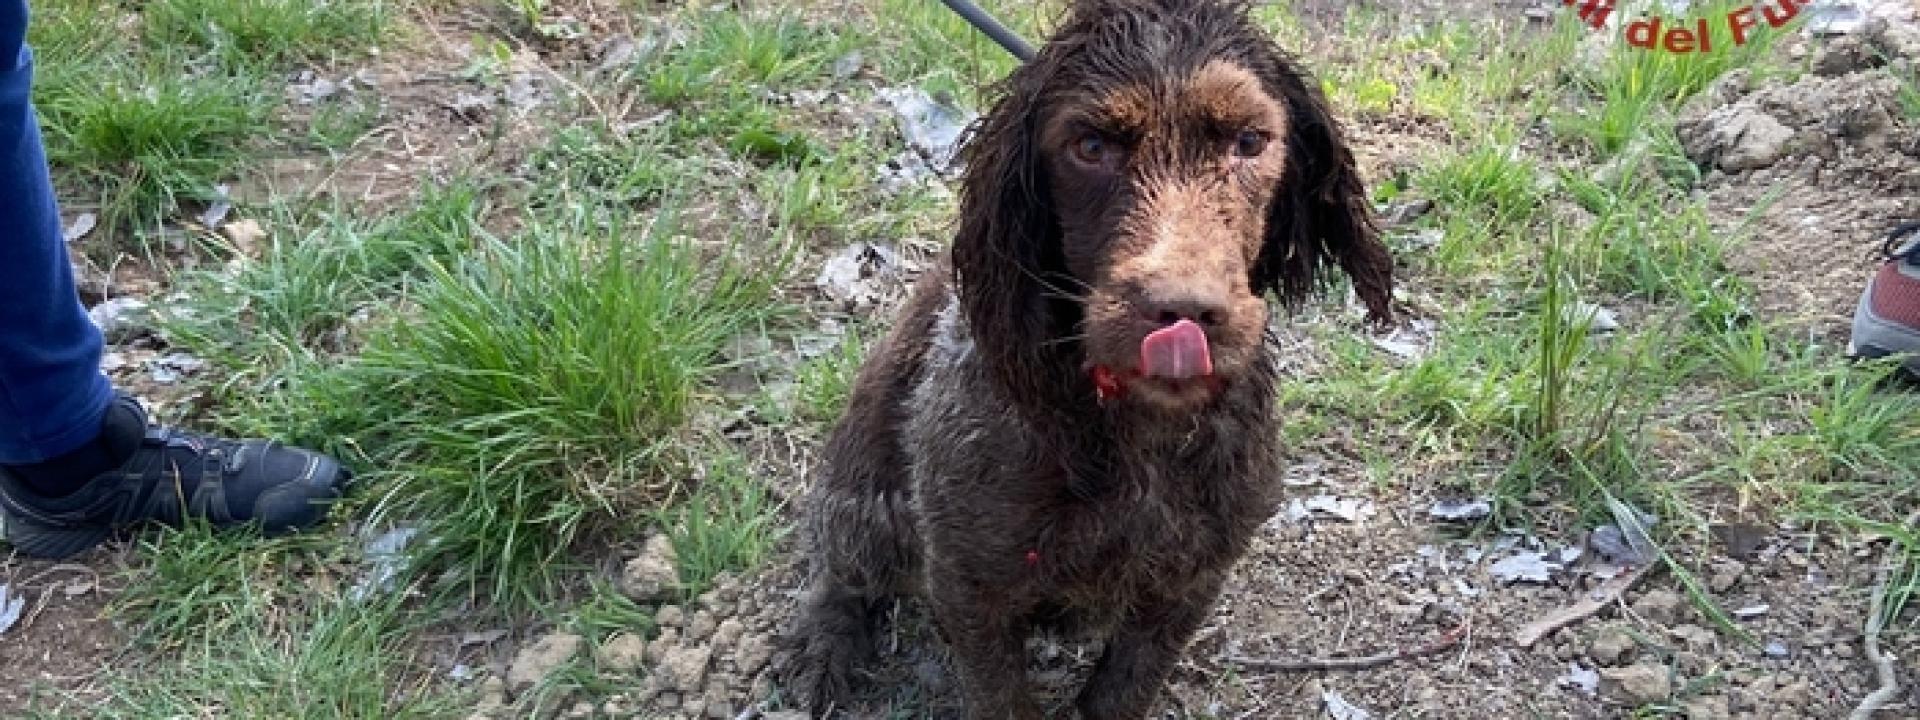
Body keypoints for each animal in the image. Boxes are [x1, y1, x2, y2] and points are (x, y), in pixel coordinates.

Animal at [779, 1, 1397, 718]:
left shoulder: (1190, 581)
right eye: (1091, 148)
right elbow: (1002, 697)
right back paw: (825, 647)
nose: (1183, 315)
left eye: (1249, 141)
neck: (1136, 429)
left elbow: (1124, 686)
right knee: (837, 567)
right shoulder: (967, 580)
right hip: (867, 509)